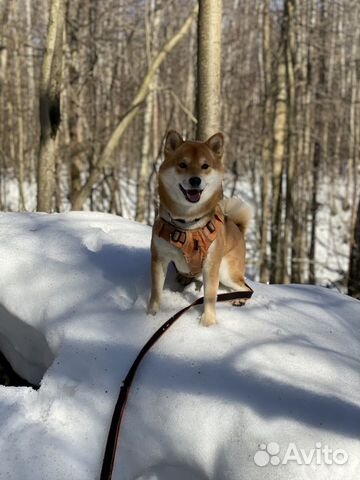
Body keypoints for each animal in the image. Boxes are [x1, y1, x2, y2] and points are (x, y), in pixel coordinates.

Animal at [148, 130, 252, 326]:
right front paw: (151, 315)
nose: (195, 180)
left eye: (205, 166)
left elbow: (210, 297)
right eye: (183, 164)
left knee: (244, 287)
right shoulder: (160, 258)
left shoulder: (211, 265)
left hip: (226, 270)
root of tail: (237, 228)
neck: (187, 226)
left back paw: (240, 298)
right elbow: (156, 291)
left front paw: (207, 323)